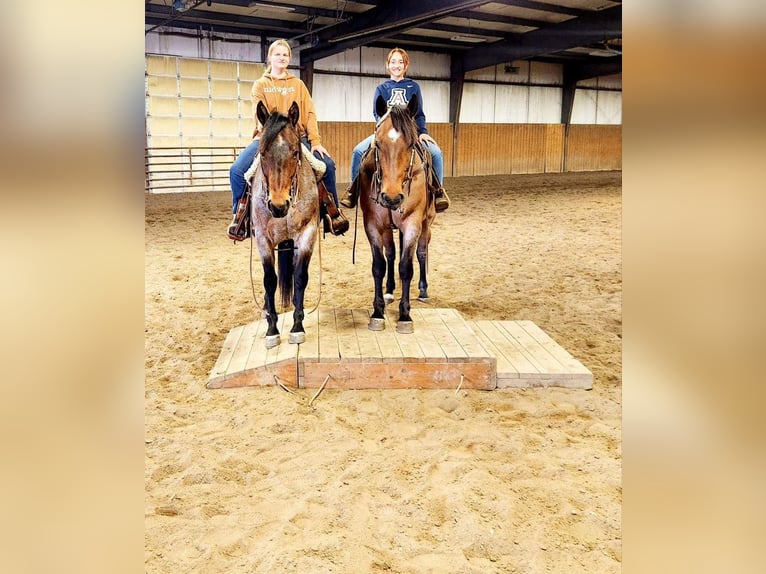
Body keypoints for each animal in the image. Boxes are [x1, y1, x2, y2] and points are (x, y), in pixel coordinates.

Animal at [250, 100, 320, 348]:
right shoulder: (263, 239)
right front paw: (272, 328)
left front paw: (297, 326)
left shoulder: (307, 234)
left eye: (295, 152)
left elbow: (299, 277)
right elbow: (270, 280)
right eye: (262, 153)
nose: (279, 205)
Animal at [360, 94, 438, 336]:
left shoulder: (413, 224)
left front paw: (405, 315)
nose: (392, 198)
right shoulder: (373, 225)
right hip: (388, 229)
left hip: (426, 224)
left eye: (411, 143)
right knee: (391, 254)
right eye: (378, 143)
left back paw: (423, 290)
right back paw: (389, 290)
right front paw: (377, 312)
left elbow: (406, 267)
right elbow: (379, 265)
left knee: (421, 253)